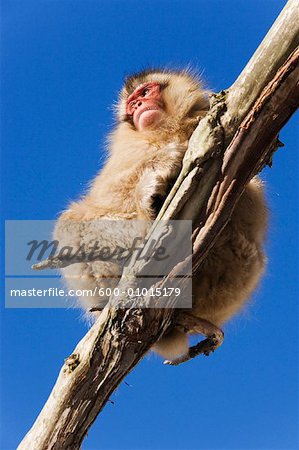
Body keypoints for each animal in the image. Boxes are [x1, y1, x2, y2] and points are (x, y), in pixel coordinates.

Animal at [54, 69, 270, 366]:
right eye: (131, 103)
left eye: (145, 92)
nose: (137, 106)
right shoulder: (129, 146)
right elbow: (109, 197)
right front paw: (157, 176)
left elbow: (249, 201)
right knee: (71, 226)